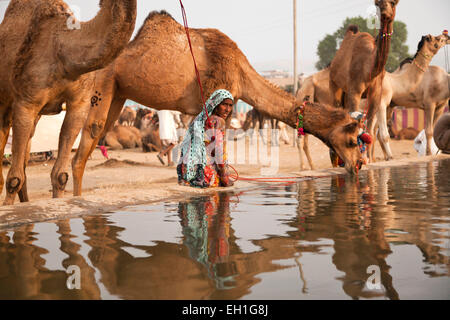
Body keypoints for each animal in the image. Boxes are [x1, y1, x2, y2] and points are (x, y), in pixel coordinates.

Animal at [39, 10, 362, 198]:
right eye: (351, 138)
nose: (359, 163)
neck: (241, 71)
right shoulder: (220, 105)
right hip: (101, 85)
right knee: (84, 145)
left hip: (118, 94)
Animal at [328, 0, 400, 160]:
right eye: (378, 3)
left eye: (392, 3)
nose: (385, 12)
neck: (370, 68)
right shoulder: (354, 91)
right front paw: (360, 157)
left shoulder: (376, 94)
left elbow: (370, 130)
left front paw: (369, 158)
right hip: (334, 85)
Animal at [372, 32, 450, 160]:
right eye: (437, 38)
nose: (447, 36)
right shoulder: (429, 104)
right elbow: (429, 131)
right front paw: (428, 153)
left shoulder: (441, 106)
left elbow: (432, 130)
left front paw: (430, 152)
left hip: (390, 106)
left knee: (375, 133)